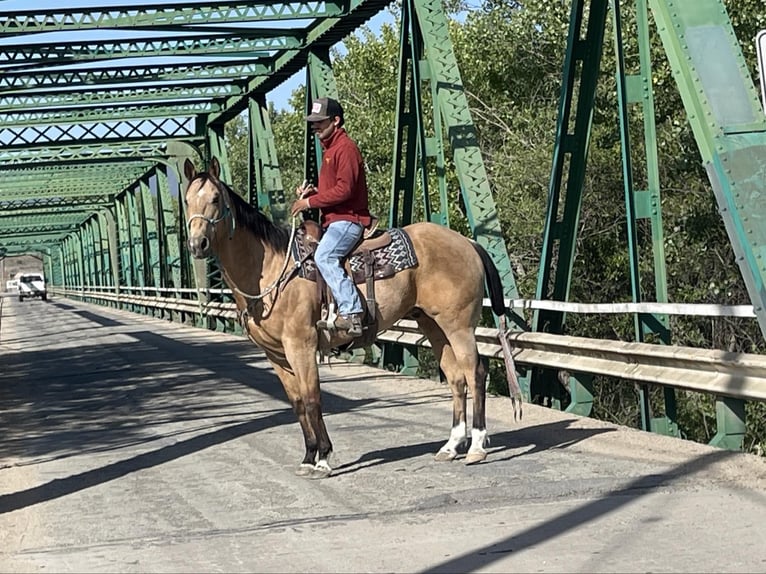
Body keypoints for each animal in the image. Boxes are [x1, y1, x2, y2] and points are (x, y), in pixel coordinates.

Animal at [182, 158, 510, 482]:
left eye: (215, 198)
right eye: (186, 200)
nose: (197, 244)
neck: (272, 270)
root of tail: (467, 242)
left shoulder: (301, 345)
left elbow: (312, 398)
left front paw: (323, 459)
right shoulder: (275, 354)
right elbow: (297, 403)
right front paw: (308, 456)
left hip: (459, 325)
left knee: (475, 373)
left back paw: (476, 447)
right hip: (433, 325)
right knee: (455, 377)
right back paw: (451, 446)